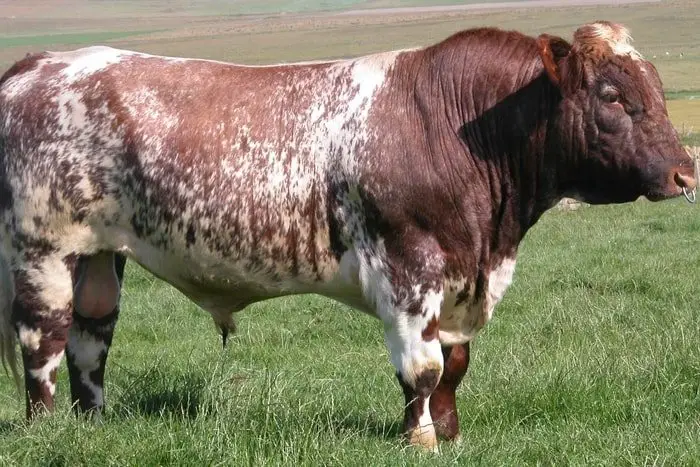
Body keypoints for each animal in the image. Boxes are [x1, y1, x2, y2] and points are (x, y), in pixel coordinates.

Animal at [0, 21, 696, 450]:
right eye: (611, 95)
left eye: (656, 90)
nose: (685, 172)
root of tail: (41, 64)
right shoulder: (409, 267)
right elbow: (422, 368)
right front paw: (420, 439)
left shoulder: (461, 277)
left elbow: (455, 365)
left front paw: (451, 434)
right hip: (42, 249)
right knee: (43, 341)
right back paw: (48, 432)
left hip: (98, 254)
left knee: (91, 341)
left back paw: (95, 425)